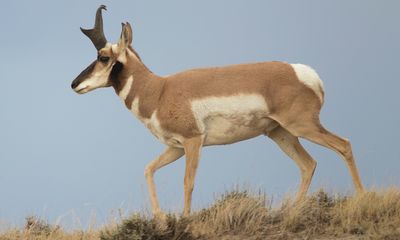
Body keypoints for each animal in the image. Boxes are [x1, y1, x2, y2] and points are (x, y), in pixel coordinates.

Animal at [72, 5, 366, 217]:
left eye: (103, 57)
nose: (74, 84)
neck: (160, 90)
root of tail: (304, 72)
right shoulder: (176, 148)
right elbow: (148, 170)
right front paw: (160, 219)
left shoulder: (193, 142)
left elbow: (187, 182)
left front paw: (185, 219)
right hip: (280, 133)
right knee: (308, 164)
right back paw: (291, 211)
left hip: (302, 126)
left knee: (344, 145)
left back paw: (362, 198)